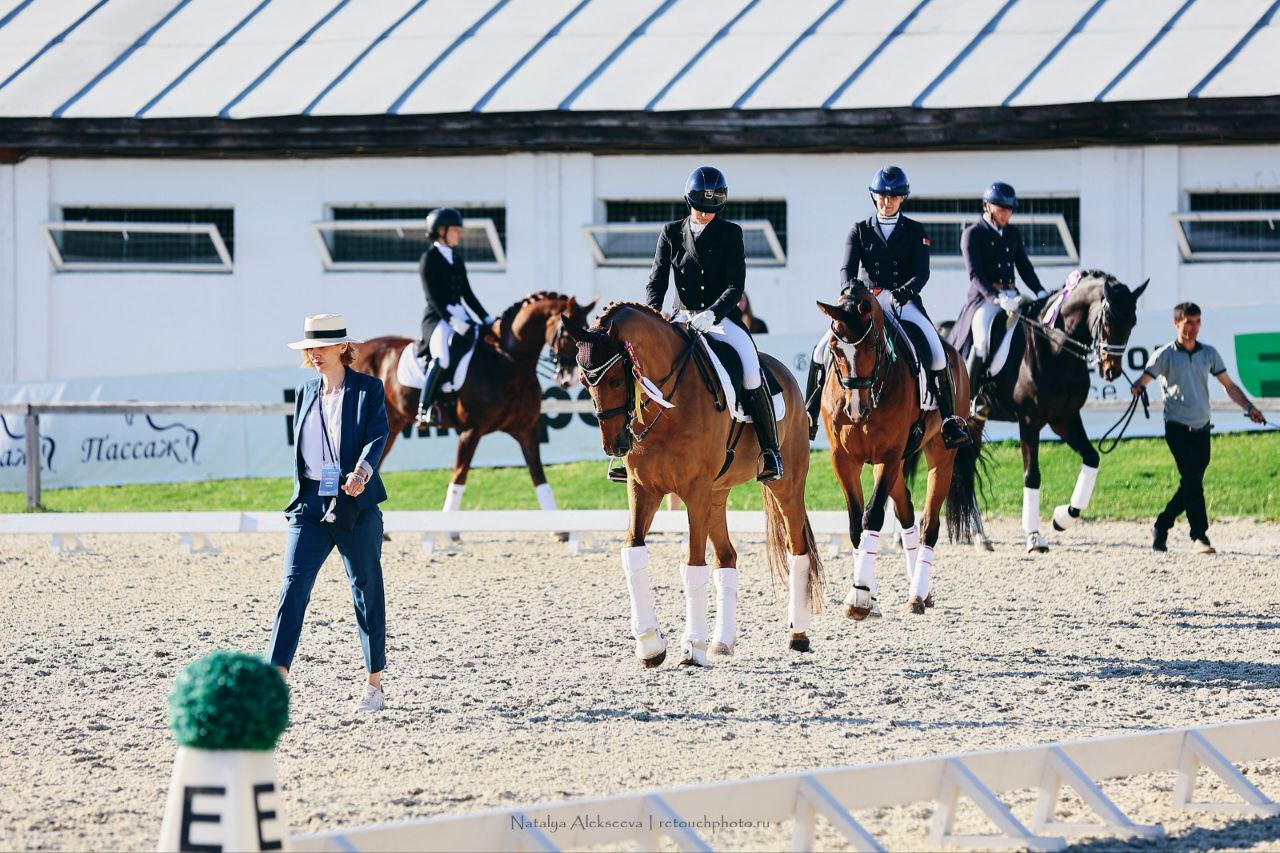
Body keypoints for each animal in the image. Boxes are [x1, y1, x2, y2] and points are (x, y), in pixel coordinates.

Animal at [348, 289, 591, 522]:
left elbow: (539, 477)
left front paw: (563, 531)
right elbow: (459, 477)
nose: (570, 378)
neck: (510, 362)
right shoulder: (471, 431)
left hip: (392, 426)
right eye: (569, 333)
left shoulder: (527, 430)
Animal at [565, 302, 824, 666]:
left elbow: (693, 564)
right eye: (585, 384)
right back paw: (722, 643)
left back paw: (797, 635)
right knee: (727, 558)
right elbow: (633, 551)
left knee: (798, 549)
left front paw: (691, 647)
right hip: (717, 494)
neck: (667, 407)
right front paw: (650, 645)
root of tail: (782, 371)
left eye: (616, 380)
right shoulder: (642, 490)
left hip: (786, 484)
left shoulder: (695, 491)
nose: (615, 445)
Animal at [814, 286, 983, 617]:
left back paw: (917, 594)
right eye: (835, 349)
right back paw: (921, 591)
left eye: (872, 345)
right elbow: (856, 524)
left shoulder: (888, 456)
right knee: (906, 514)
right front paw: (866, 596)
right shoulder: (844, 460)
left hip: (940, 455)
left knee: (930, 523)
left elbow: (872, 516)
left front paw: (860, 596)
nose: (856, 410)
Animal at [947, 268, 1146, 555]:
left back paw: (979, 536)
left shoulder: (1064, 419)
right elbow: (1032, 475)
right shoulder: (1030, 420)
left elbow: (1092, 458)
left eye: (1133, 323)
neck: (1055, 348)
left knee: (967, 465)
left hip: (974, 421)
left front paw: (1062, 517)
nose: (1111, 371)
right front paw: (1034, 536)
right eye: (1108, 320)